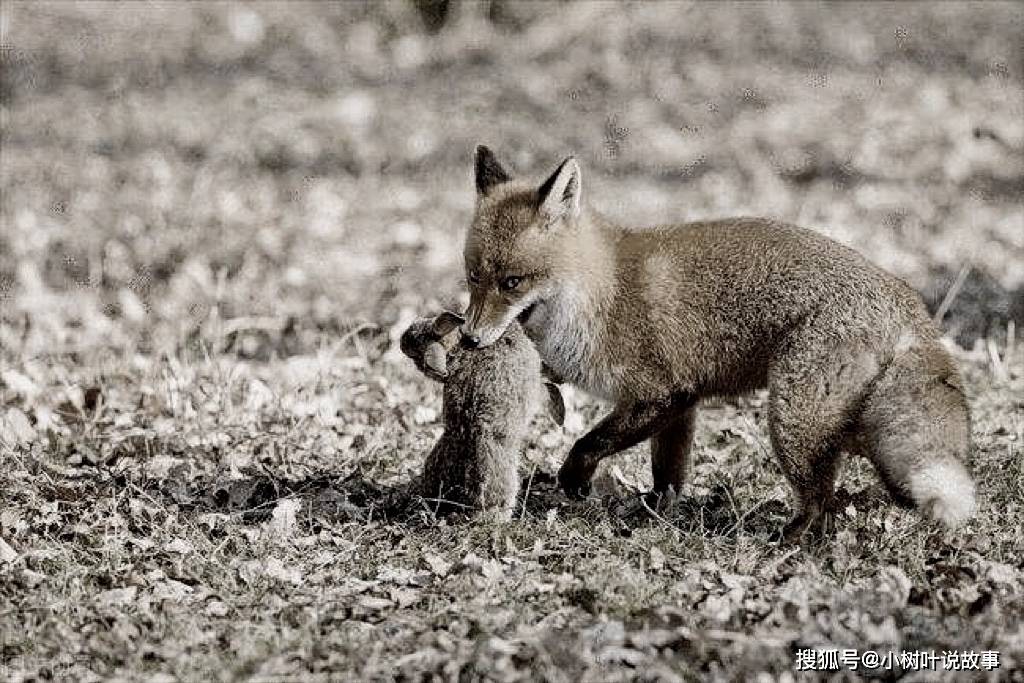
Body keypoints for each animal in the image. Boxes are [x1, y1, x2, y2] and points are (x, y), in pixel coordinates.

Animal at [458, 147, 974, 540]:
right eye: (474, 277)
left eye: (512, 282)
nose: (468, 337)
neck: (601, 293)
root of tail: (904, 296)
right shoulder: (681, 404)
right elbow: (668, 476)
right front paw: (653, 513)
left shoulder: (657, 394)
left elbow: (589, 443)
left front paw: (576, 482)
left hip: (792, 420)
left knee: (820, 501)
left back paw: (792, 540)